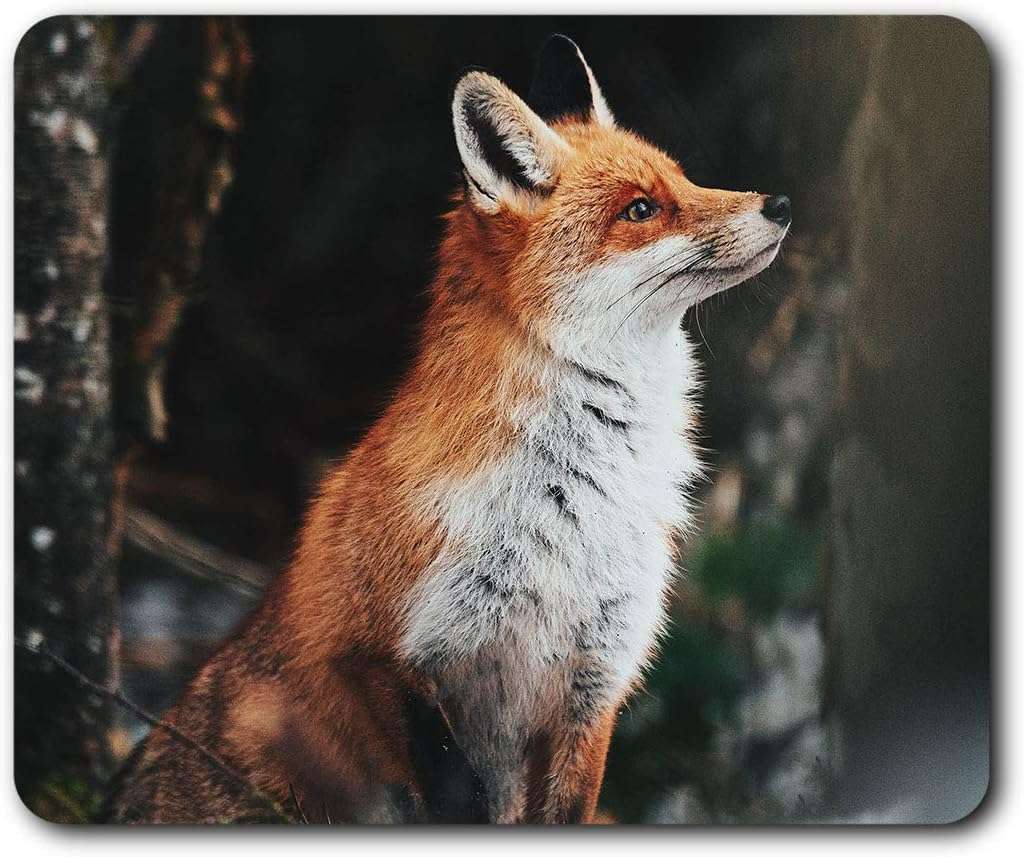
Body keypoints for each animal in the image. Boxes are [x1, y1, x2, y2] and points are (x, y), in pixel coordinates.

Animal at [108, 35, 790, 824]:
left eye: (685, 177)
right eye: (641, 208)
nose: (780, 203)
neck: (573, 507)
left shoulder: (594, 683)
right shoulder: (379, 654)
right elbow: (456, 794)